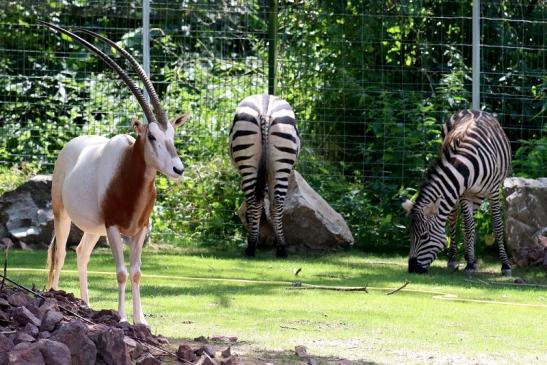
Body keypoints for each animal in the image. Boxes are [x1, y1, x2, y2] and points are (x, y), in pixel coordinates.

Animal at [229, 94, 302, 258]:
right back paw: (281, 248)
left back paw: (251, 247)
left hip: (248, 164)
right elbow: (269, 202)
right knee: (277, 203)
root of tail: (265, 109)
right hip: (282, 163)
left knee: (254, 201)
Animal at [402, 109, 512, 274]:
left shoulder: (493, 191)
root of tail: (472, 109)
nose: (412, 268)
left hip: (478, 194)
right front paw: (470, 264)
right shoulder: (464, 193)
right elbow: (468, 226)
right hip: (460, 193)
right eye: (410, 235)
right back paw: (454, 260)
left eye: (424, 236)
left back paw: (469, 256)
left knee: (470, 219)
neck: (464, 163)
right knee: (454, 219)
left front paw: (505, 265)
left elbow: (497, 226)